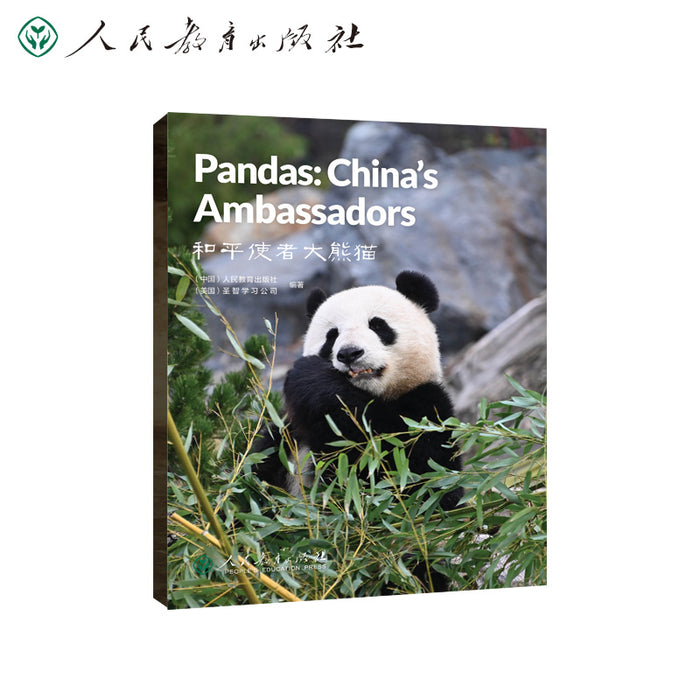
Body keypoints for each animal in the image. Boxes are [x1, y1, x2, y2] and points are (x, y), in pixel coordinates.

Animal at [254, 270, 462, 511]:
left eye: (378, 325)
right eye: (332, 335)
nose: (349, 353)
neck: (370, 395)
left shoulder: (427, 411)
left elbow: (413, 477)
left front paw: (311, 377)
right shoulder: (284, 434)